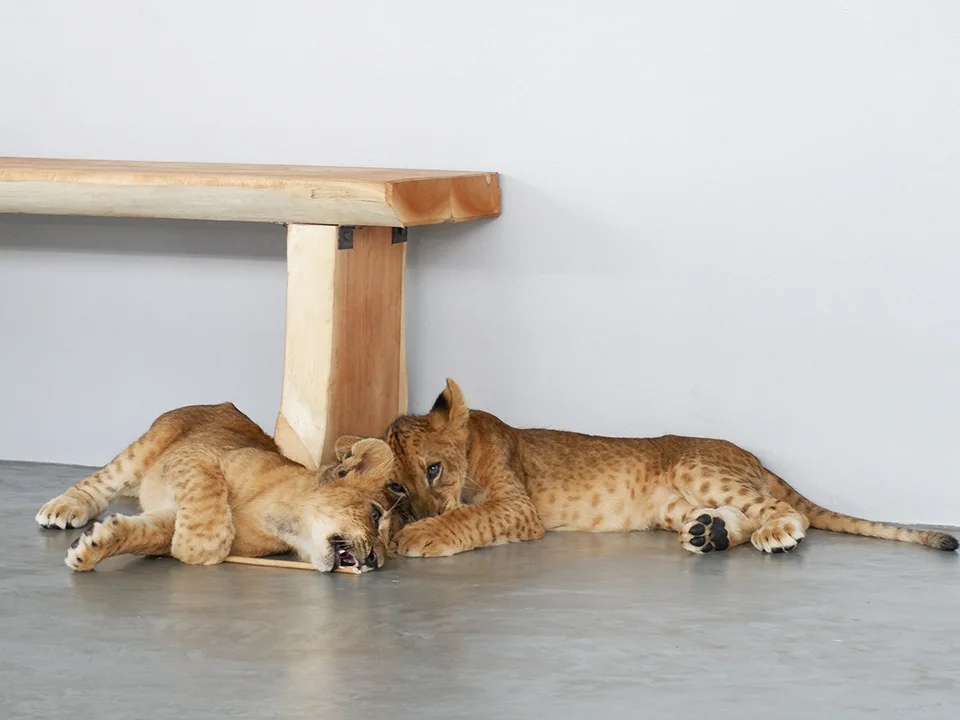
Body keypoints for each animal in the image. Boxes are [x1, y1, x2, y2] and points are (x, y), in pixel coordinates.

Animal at [35, 403, 406, 572]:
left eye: (387, 550)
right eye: (375, 515)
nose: (374, 561)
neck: (281, 519)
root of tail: (220, 404)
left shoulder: (170, 515)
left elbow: (147, 534)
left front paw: (92, 547)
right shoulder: (194, 455)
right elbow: (207, 490)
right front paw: (201, 546)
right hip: (145, 450)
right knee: (99, 483)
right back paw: (62, 508)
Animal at [382, 378, 958, 557]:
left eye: (433, 470)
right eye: (398, 487)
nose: (418, 513)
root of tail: (754, 457)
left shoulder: (519, 506)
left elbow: (470, 516)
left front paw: (422, 535)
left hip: (695, 465)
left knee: (786, 509)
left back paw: (776, 534)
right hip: (675, 504)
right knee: (733, 516)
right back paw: (709, 534)